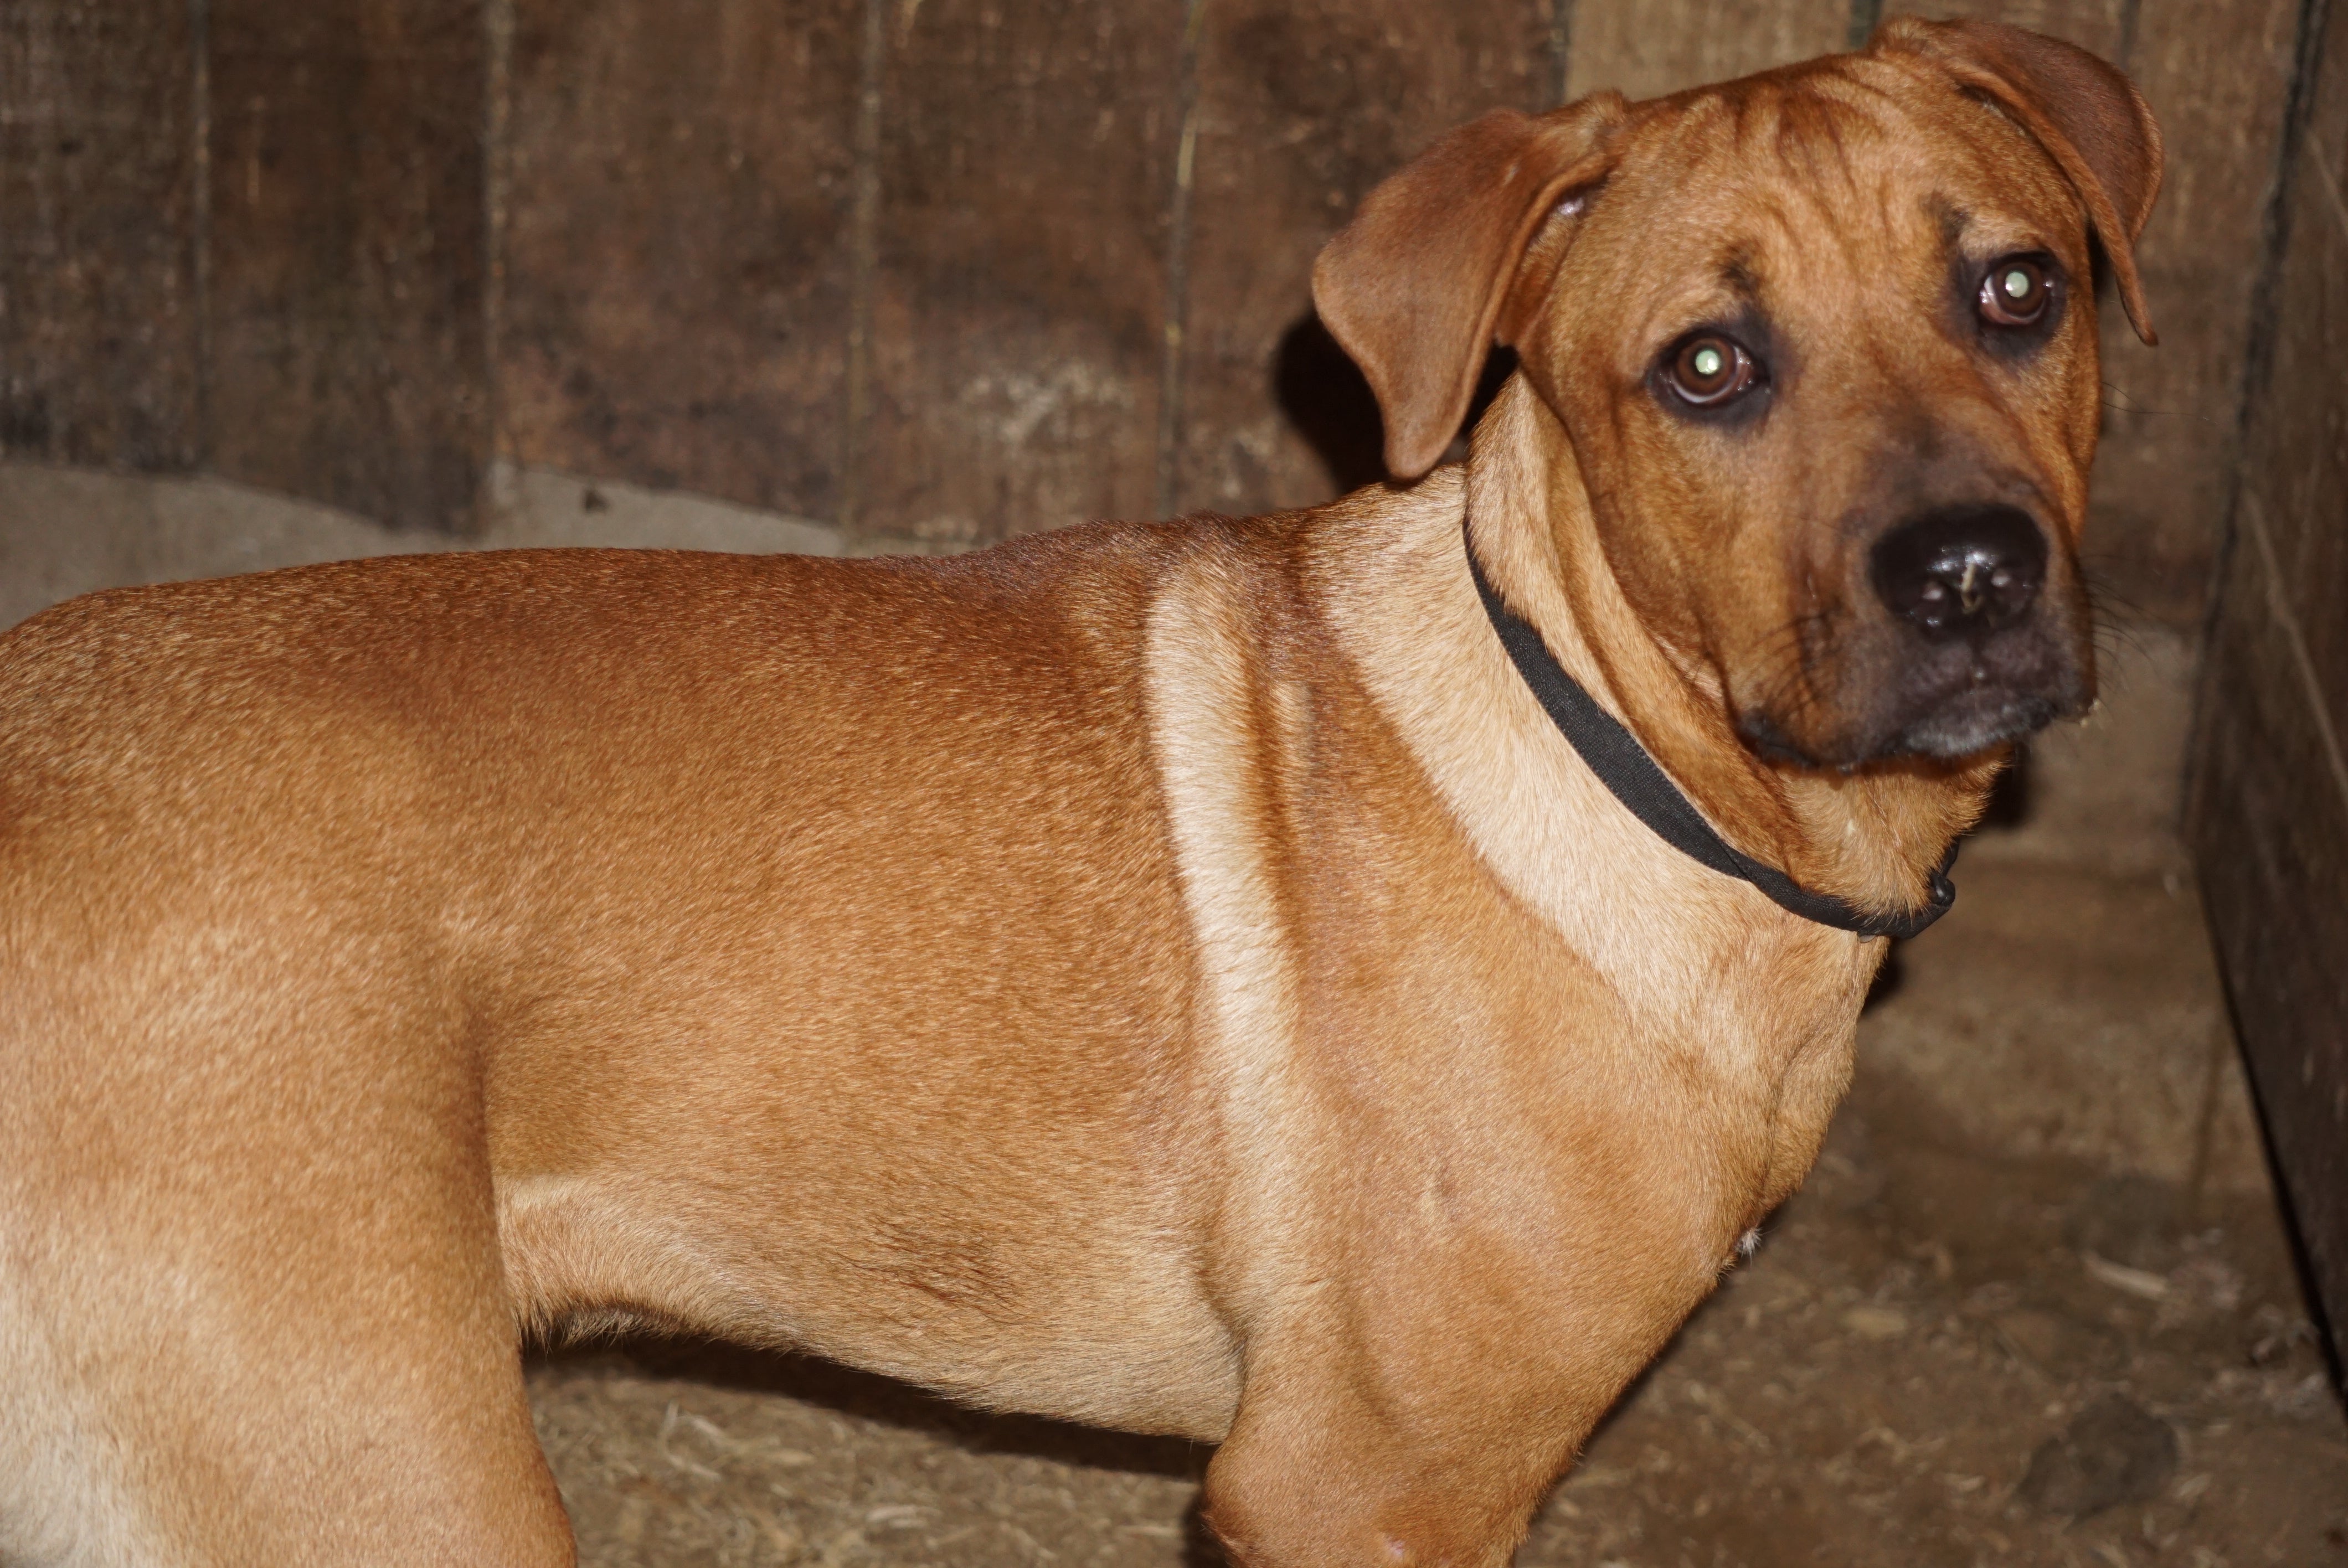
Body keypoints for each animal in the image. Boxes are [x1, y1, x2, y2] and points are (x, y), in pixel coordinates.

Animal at [4, 15, 2160, 1568]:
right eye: (1708, 366)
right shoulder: (1363, 1492)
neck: (1620, 750)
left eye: (2019, 292)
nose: (1971, 576)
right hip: (385, 1487)